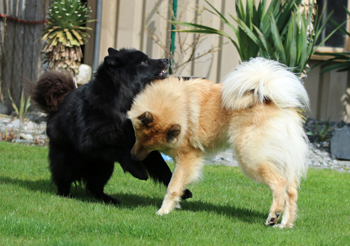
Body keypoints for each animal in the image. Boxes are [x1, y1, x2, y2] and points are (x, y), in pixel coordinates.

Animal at [31, 47, 193, 204]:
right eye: (144, 61)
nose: (166, 59)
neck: (121, 101)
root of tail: (56, 106)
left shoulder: (142, 143)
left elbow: (162, 167)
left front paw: (181, 190)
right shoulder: (92, 142)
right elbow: (120, 150)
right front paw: (138, 170)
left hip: (103, 168)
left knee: (94, 188)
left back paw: (108, 200)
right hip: (67, 162)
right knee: (64, 181)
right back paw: (66, 195)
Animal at [129, 57, 308, 229]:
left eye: (148, 146)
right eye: (138, 138)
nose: (133, 156)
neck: (182, 106)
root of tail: (270, 99)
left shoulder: (187, 158)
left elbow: (173, 187)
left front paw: (163, 211)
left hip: (251, 159)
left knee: (280, 183)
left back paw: (273, 216)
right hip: (282, 160)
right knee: (291, 192)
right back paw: (284, 225)